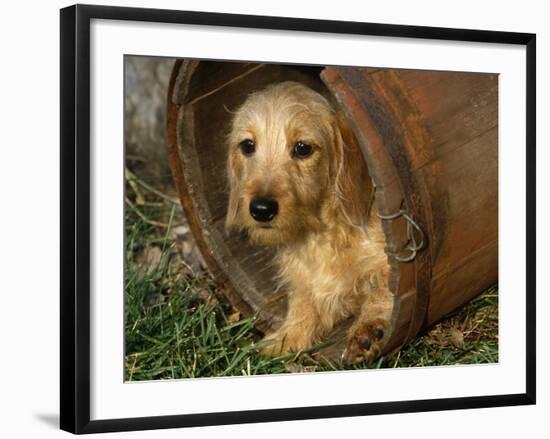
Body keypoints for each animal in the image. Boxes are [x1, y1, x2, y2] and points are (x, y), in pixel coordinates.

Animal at [226, 82, 394, 364]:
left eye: (303, 148)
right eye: (248, 146)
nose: (261, 209)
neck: (322, 235)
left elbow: (383, 289)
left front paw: (369, 329)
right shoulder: (304, 281)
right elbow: (304, 305)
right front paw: (284, 339)